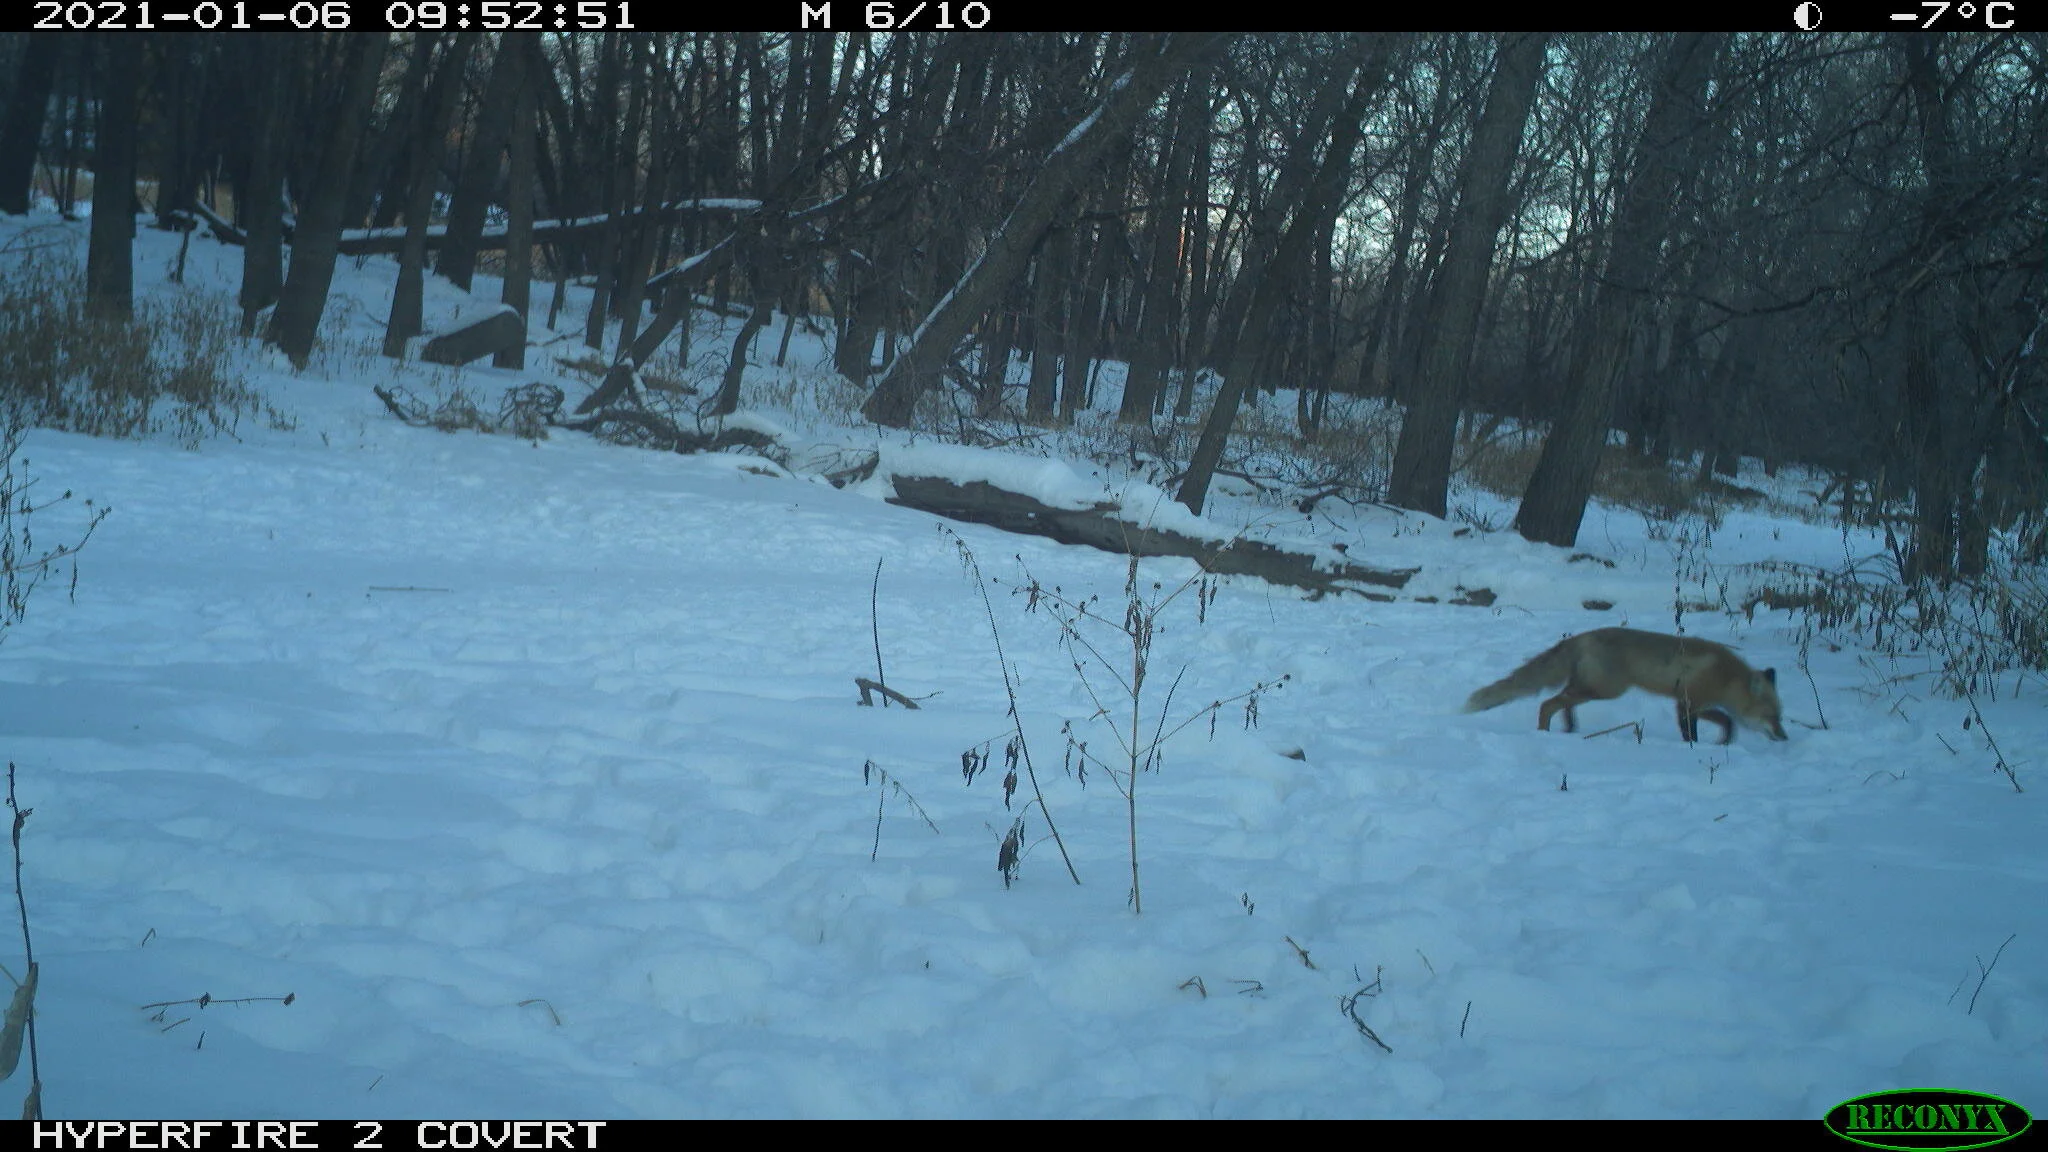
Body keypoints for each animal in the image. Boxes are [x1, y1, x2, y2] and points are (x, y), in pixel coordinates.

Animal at [1462, 627, 1788, 744]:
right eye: (1772, 716)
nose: (1784, 737)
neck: (1726, 676)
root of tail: (1580, 637)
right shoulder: (1687, 703)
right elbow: (1695, 730)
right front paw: (1694, 747)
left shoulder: (1697, 703)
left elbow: (1726, 721)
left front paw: (1724, 742)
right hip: (1604, 691)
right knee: (1548, 703)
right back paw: (1545, 733)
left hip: (1591, 689)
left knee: (1562, 704)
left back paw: (1570, 730)